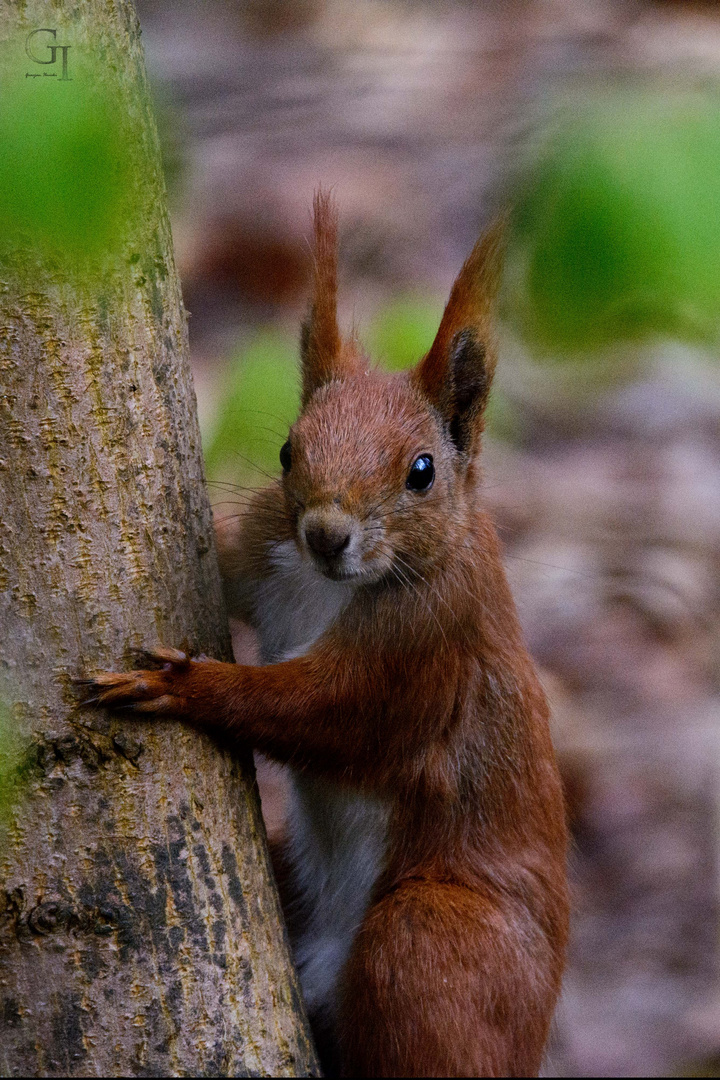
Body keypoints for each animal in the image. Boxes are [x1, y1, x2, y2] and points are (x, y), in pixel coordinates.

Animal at [84, 192, 569, 1071]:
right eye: (286, 450)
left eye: (422, 472)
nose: (325, 534)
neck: (326, 589)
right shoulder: (262, 554)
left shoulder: (425, 648)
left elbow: (321, 713)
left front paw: (181, 685)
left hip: (435, 944)